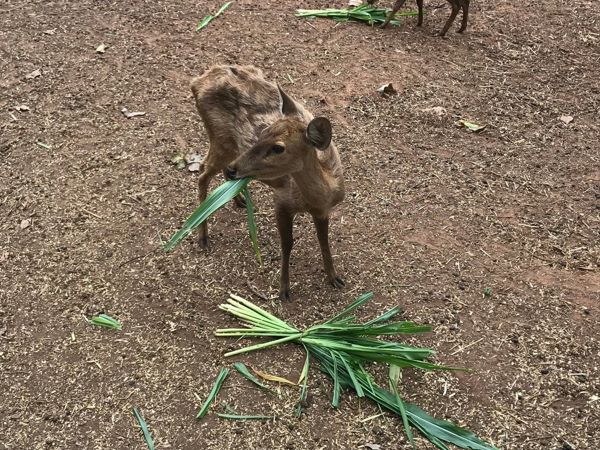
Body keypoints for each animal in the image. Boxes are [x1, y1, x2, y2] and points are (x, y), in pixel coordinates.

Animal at [190, 65, 344, 300]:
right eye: (263, 132)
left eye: (278, 147)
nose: (235, 169)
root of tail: (196, 83)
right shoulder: (281, 201)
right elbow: (287, 244)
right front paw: (284, 290)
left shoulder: (322, 211)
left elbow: (323, 240)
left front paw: (334, 277)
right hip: (220, 139)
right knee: (202, 172)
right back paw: (203, 236)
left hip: (229, 147)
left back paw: (239, 199)